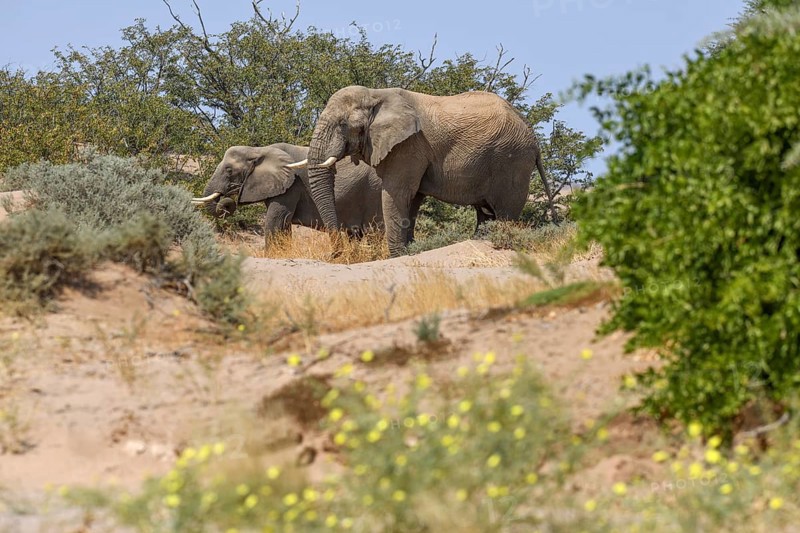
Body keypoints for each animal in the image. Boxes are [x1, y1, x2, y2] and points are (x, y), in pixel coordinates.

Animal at [191, 143, 383, 243]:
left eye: (229, 170)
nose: (227, 202)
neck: (258, 149)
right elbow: (283, 224)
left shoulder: (292, 185)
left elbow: (275, 220)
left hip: (374, 191)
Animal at [304, 85, 557, 257]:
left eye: (343, 125)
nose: (337, 254)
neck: (376, 94)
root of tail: (534, 138)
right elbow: (412, 199)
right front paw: (408, 251)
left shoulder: (408, 146)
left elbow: (397, 195)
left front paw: (397, 256)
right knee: (485, 213)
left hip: (511, 161)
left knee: (505, 213)